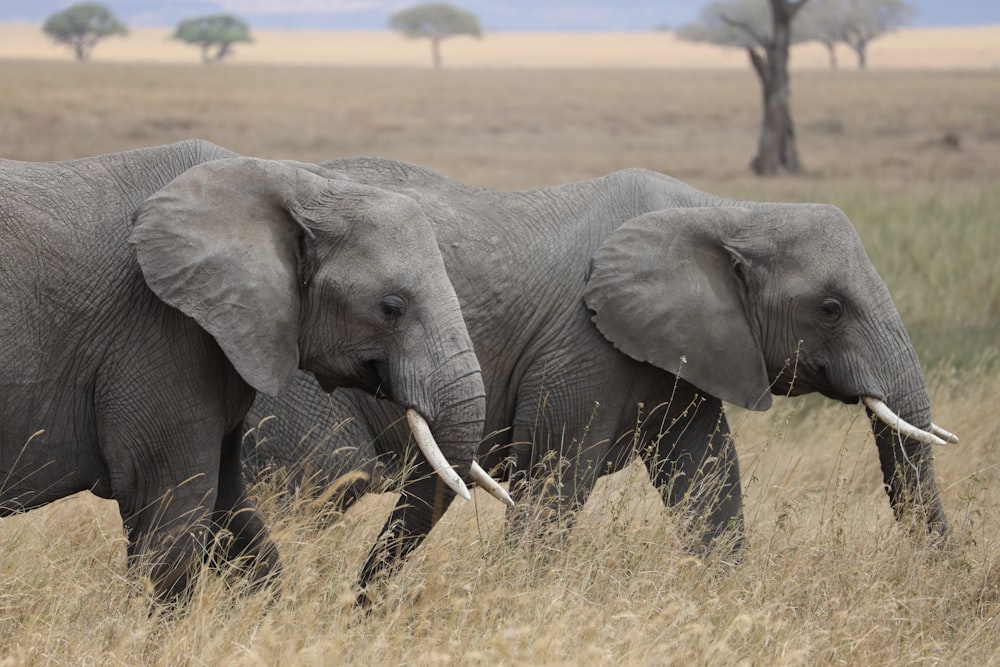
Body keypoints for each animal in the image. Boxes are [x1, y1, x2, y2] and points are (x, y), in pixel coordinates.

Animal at [0, 142, 496, 604]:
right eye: (391, 307)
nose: (358, 604)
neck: (292, 182)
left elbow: (234, 513)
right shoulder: (158, 332)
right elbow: (170, 510)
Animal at [244, 159, 960, 604]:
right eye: (832, 308)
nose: (944, 582)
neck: (726, 212)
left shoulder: (683, 346)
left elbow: (707, 476)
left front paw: (728, 602)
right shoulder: (581, 344)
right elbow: (556, 477)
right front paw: (518, 602)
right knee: (328, 475)